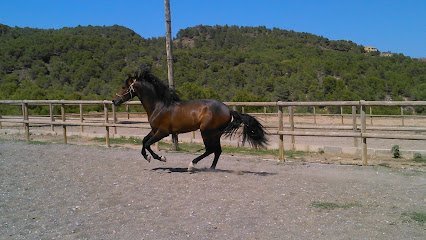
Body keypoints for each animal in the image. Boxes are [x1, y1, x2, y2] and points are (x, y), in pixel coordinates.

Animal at [113, 68, 266, 172]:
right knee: (217, 151)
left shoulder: (162, 132)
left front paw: (160, 158)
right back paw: (211, 168)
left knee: (210, 150)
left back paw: (192, 165)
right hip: (215, 133)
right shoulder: (154, 130)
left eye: (124, 87)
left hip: (207, 131)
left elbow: (148, 144)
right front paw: (149, 157)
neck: (159, 106)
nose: (114, 101)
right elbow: (144, 141)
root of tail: (228, 110)